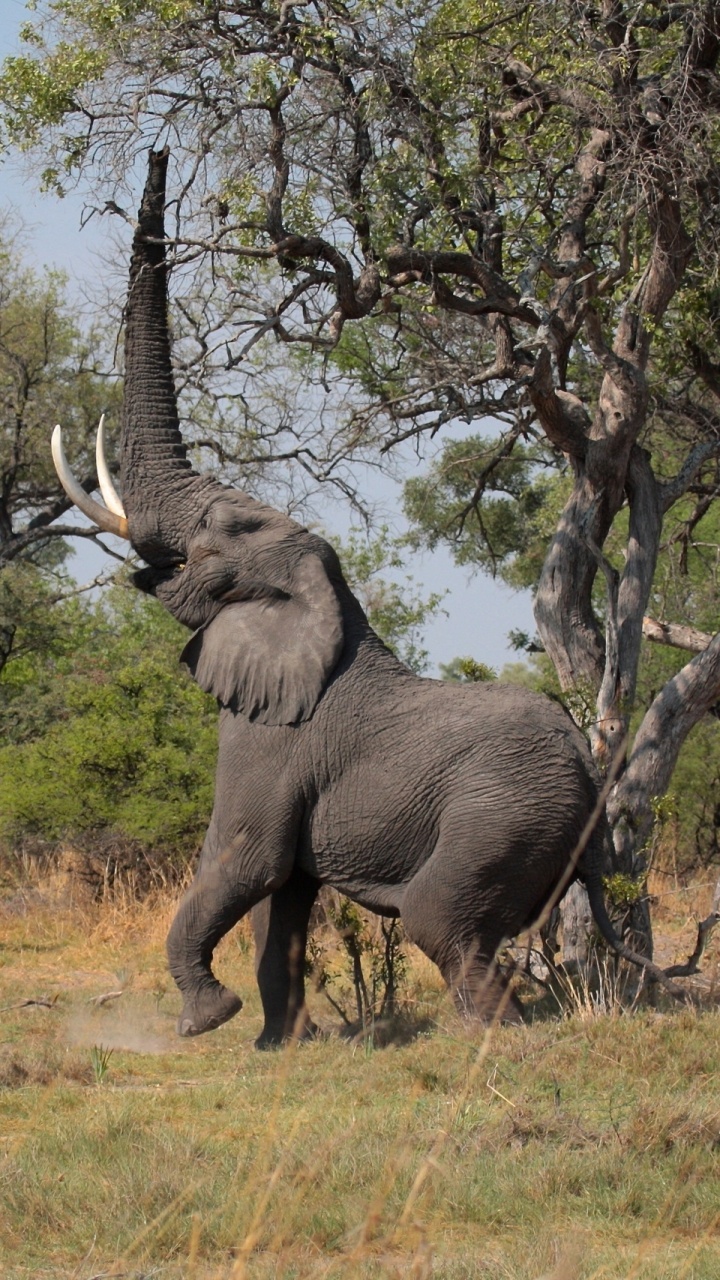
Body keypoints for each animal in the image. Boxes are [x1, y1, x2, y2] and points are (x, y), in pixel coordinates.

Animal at [52, 148, 682, 1045]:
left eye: (218, 535)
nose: (162, 155)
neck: (319, 601)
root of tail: (592, 780)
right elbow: (282, 901)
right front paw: (279, 1046)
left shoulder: (269, 742)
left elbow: (244, 862)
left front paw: (206, 1021)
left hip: (501, 817)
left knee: (437, 921)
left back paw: (487, 1037)